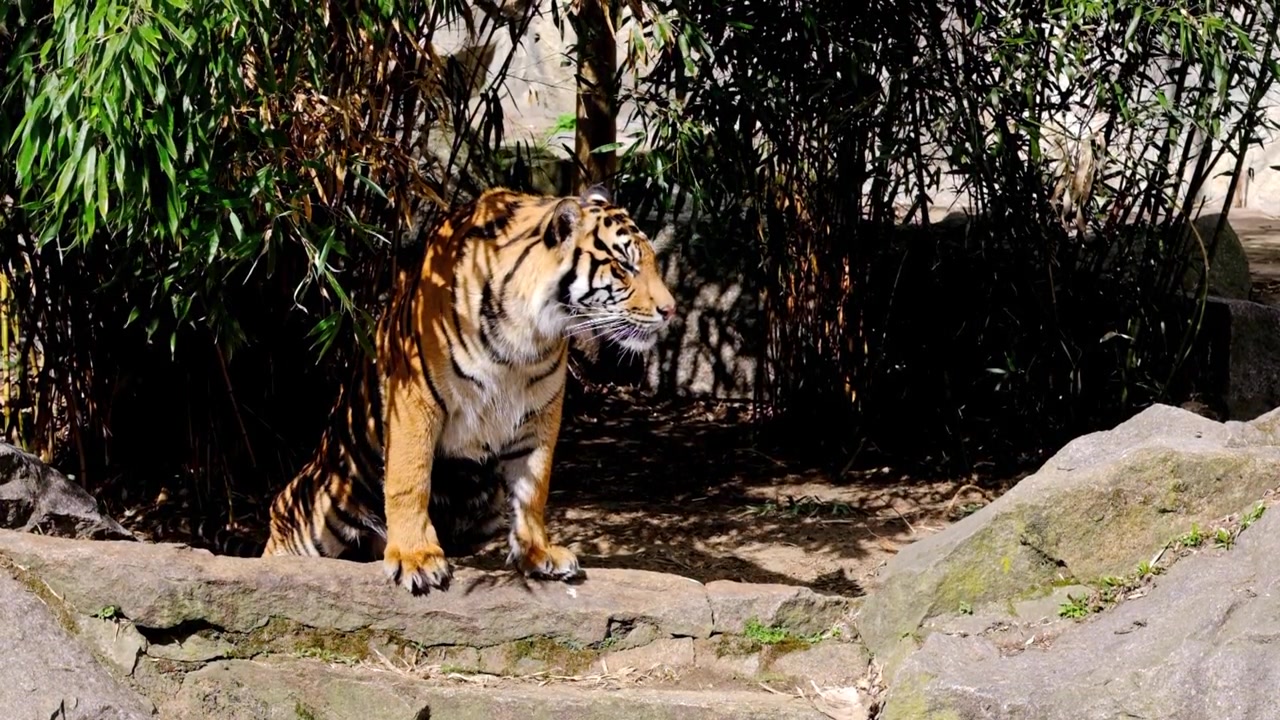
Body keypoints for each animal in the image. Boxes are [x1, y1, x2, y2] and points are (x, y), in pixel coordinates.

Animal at [261, 184, 678, 594]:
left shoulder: (540, 412)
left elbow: (534, 487)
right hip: (313, 518)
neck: (527, 336)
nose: (671, 310)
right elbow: (409, 479)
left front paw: (538, 553)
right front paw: (416, 557)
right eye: (624, 266)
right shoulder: (415, 398)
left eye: (651, 263)